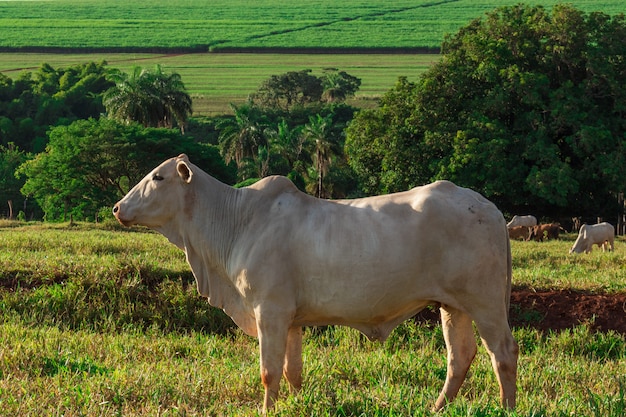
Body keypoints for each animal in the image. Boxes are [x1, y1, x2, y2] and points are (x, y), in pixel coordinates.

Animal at [112, 154, 516, 412]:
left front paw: (267, 409)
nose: (117, 208)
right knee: (460, 357)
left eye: (158, 177)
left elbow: (269, 372)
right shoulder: (290, 320)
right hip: (453, 306)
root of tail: (490, 209)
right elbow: (292, 372)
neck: (237, 220)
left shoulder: (270, 311)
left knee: (503, 353)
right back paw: (436, 407)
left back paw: (506, 407)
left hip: (486, 302)